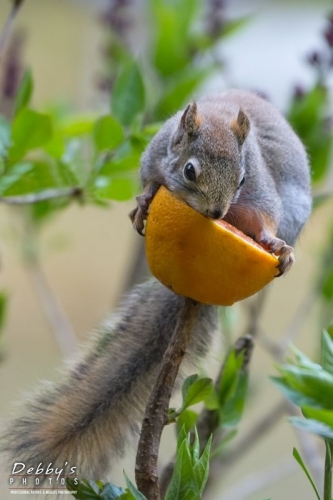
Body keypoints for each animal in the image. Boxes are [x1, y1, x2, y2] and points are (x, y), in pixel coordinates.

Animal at [1, 89, 310, 480]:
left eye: (242, 179)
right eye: (190, 170)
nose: (217, 213)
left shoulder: (261, 193)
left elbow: (266, 219)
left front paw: (275, 246)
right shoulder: (153, 157)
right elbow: (149, 179)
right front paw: (145, 201)